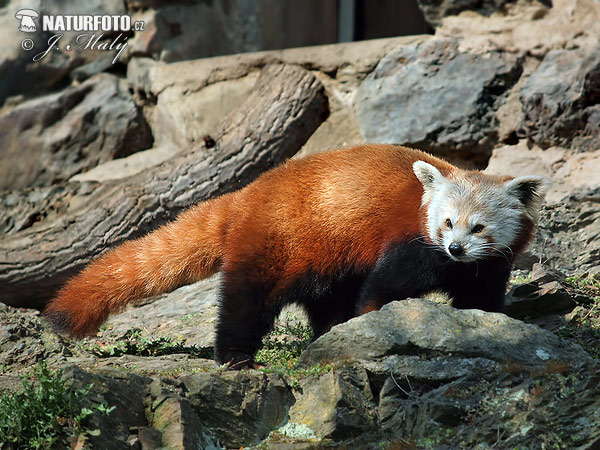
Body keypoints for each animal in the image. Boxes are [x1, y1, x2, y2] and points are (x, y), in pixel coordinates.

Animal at [43, 145, 548, 370]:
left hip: (325, 255)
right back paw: (234, 356)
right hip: (277, 243)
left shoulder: (489, 262)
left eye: (478, 227)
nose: (455, 248)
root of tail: (246, 194)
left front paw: (490, 325)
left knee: (325, 297)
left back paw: (328, 333)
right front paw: (375, 324)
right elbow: (383, 287)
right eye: (446, 223)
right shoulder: (410, 244)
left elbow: (481, 293)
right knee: (247, 301)